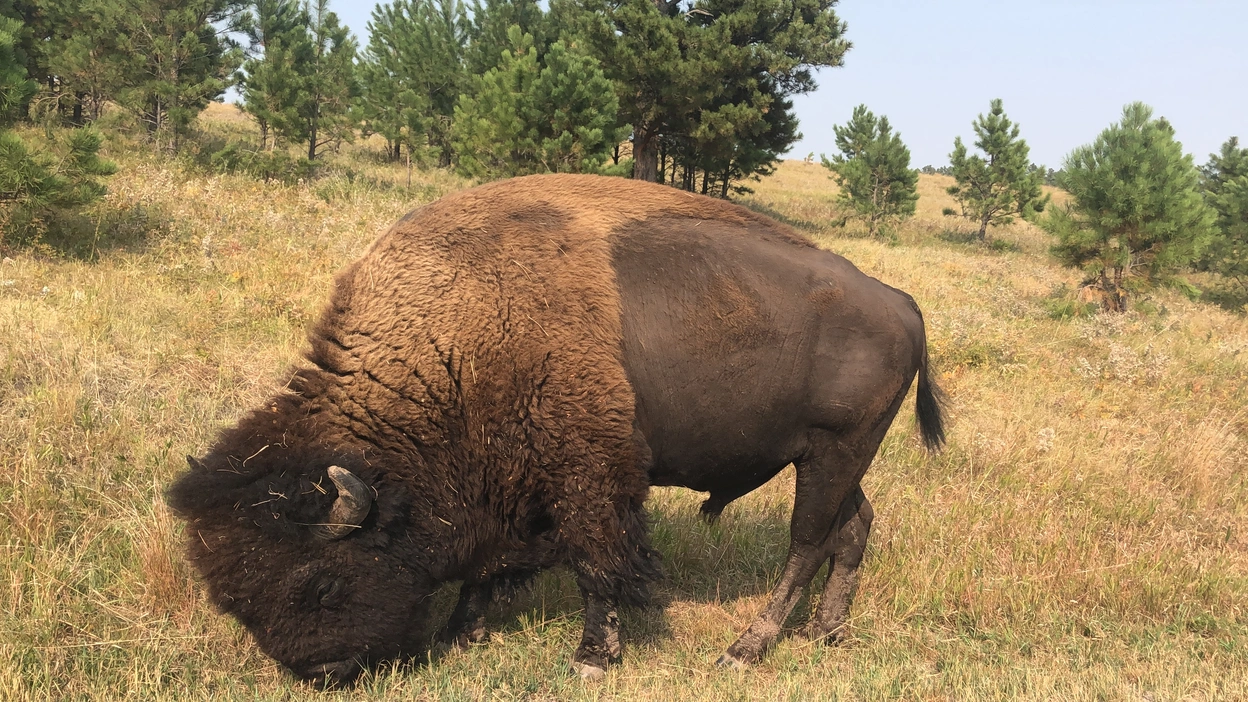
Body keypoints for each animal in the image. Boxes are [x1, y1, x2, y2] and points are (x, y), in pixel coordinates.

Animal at [168, 173, 944, 685]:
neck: (461, 334)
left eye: (321, 587)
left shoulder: (589, 478)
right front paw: (464, 631)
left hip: (830, 454)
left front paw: (592, 659)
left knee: (807, 542)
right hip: (840, 459)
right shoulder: (510, 480)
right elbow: (495, 563)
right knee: (854, 527)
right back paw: (830, 633)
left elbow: (595, 563)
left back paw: (744, 648)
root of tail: (901, 301)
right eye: (234, 604)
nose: (323, 672)